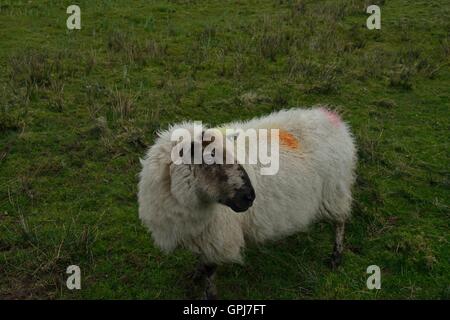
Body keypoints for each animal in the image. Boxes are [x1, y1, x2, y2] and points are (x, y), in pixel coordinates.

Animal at [139, 106, 356, 298]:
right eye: (210, 159)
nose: (250, 197)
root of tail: (332, 118)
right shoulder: (200, 234)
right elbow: (201, 259)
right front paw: (196, 273)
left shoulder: (219, 235)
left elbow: (210, 270)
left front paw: (208, 293)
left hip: (334, 191)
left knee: (340, 221)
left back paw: (336, 256)